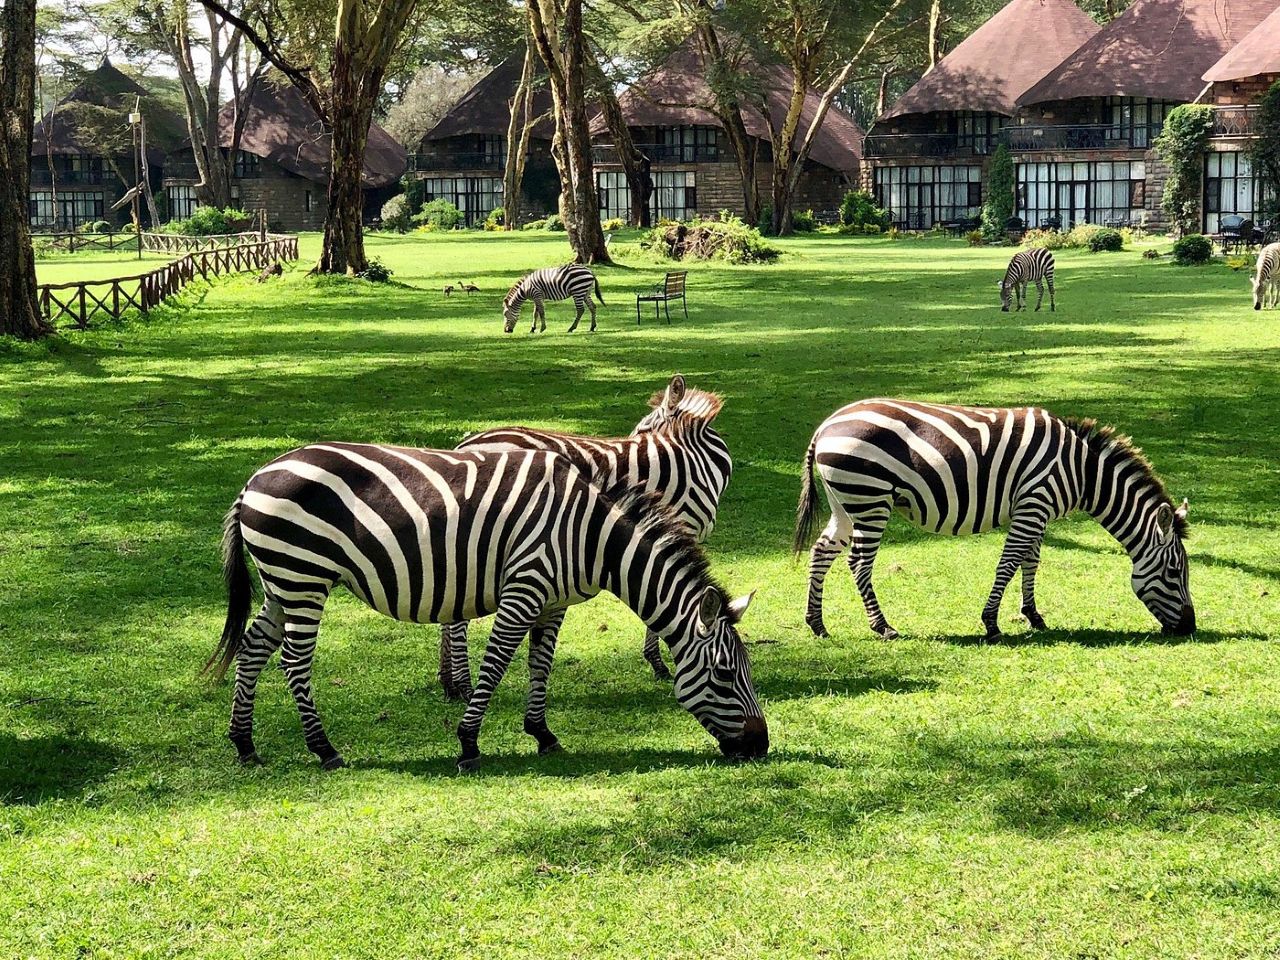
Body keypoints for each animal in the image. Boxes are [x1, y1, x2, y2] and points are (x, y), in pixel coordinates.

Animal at [208, 443, 766, 771]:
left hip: (282, 581)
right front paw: (469, 742)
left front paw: (543, 734)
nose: (761, 747)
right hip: (303, 576)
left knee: (254, 648)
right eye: (723, 675)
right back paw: (324, 749)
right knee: (293, 661)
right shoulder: (524, 587)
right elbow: (496, 664)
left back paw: (244, 744)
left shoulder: (553, 603)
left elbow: (541, 665)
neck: (590, 538)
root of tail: (253, 479)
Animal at [437, 374, 732, 699]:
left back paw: (449, 681)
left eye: (642, 430)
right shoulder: (679, 527)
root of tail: (465, 446)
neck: (691, 459)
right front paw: (658, 662)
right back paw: (463, 684)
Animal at [794, 400, 1194, 640]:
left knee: (821, 552)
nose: (1190, 627)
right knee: (858, 563)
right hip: (870, 498)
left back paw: (817, 624)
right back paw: (882, 626)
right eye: (1175, 572)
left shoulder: (1037, 509)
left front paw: (1033, 616)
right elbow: (1009, 562)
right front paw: (991, 623)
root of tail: (825, 426)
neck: (1083, 472)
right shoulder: (1033, 504)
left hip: (846, 502)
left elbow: (1031, 562)